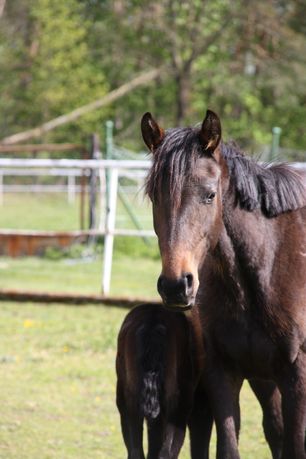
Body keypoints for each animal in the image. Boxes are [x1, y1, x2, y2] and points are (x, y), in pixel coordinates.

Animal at [115, 304, 213, 458]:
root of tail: (152, 321)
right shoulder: (202, 405)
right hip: (179, 406)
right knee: (167, 452)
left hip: (128, 403)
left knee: (136, 450)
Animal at [142, 111, 306, 459]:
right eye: (154, 196)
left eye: (210, 195)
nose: (176, 286)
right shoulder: (221, 372)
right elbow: (230, 447)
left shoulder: (297, 375)